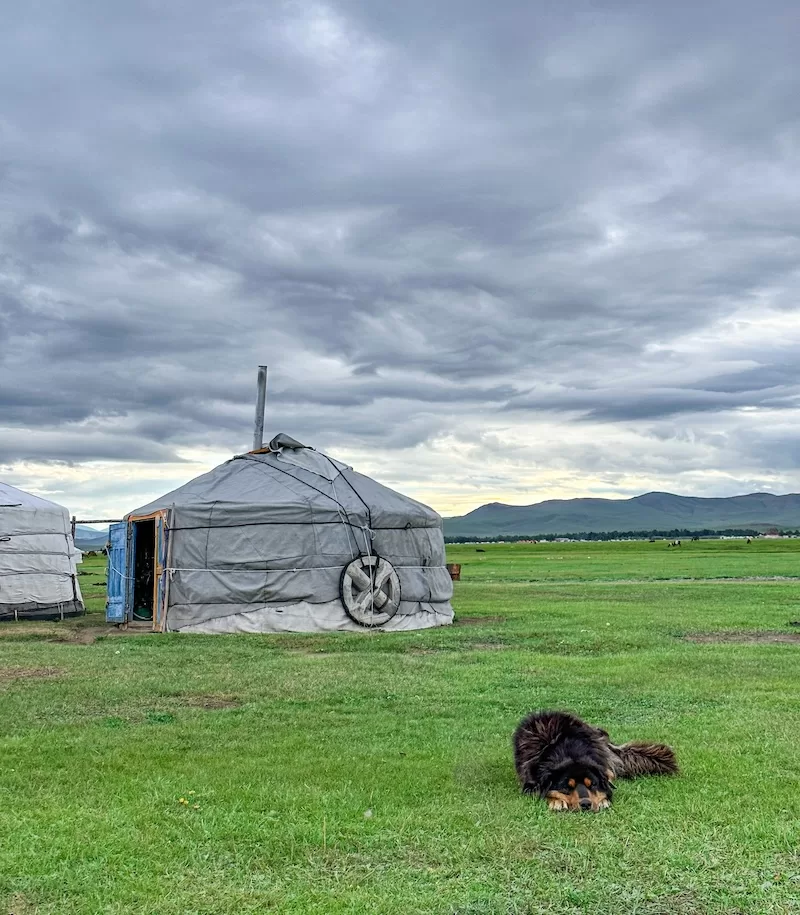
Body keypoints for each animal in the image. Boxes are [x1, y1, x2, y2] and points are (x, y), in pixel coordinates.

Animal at [516, 712, 680, 812]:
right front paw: (556, 801)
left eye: (593, 784)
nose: (586, 804)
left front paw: (602, 800)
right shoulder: (530, 782)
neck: (568, 750)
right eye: (567, 786)